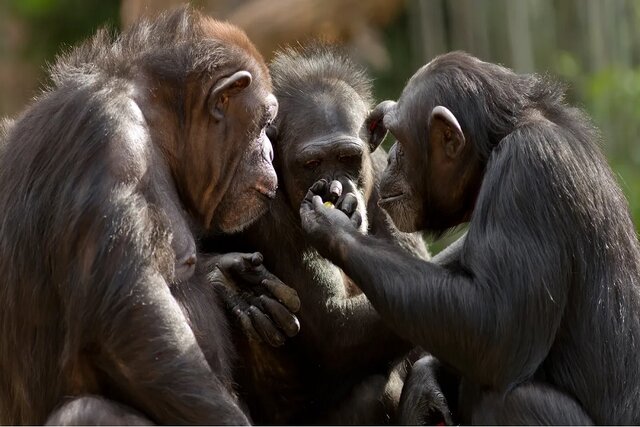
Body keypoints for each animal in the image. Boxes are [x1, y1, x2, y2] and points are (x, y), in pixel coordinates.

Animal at [0, 8, 302, 426]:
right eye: (264, 123)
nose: (269, 152)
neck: (155, 123)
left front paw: (232, 282)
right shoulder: (110, 140)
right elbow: (135, 322)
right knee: (87, 410)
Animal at [202, 45, 448, 426]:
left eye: (348, 158)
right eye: (312, 164)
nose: (336, 186)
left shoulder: (387, 175)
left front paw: (427, 383)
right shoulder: (263, 212)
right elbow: (333, 326)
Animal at [298, 51, 640, 426]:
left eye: (400, 139)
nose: (389, 157)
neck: (495, 147)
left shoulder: (527, 172)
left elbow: (496, 327)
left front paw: (333, 225)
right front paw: (425, 384)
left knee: (509, 398)